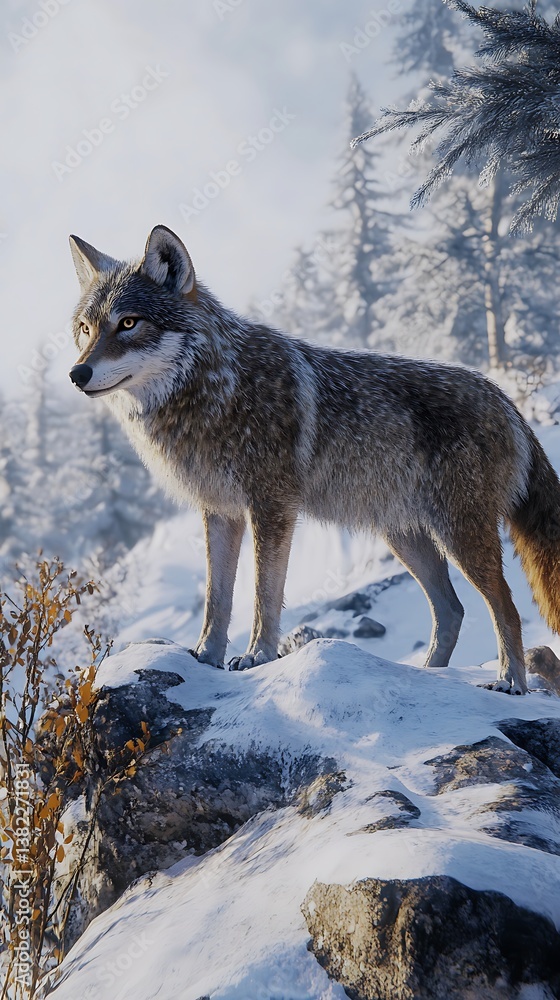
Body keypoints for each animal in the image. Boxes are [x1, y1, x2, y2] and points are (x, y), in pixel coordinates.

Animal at [68, 225, 560, 693]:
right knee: (452, 610)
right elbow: (216, 598)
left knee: (506, 608)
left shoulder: (271, 508)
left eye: (128, 323)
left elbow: (264, 593)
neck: (216, 391)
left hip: (459, 536)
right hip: (406, 538)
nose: (77, 374)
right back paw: (428, 676)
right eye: (86, 329)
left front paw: (257, 656)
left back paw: (510, 681)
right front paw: (205, 657)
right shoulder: (220, 512)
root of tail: (505, 400)